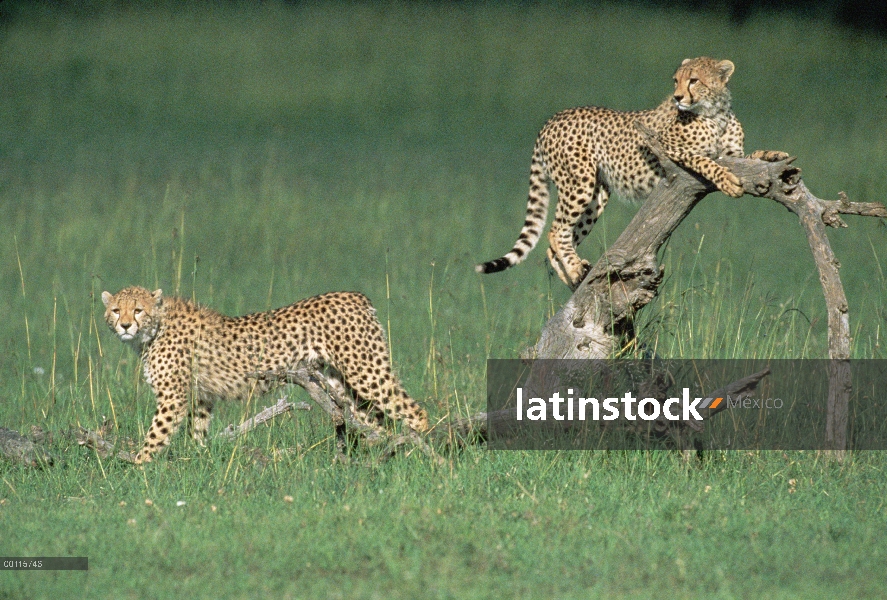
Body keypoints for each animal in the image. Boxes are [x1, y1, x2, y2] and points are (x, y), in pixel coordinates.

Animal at [102, 286, 428, 464]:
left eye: (138, 310)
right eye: (117, 310)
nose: (126, 325)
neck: (155, 329)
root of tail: (355, 295)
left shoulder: (173, 397)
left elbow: (156, 435)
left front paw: (138, 467)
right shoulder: (200, 397)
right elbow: (198, 432)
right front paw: (198, 458)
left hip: (365, 371)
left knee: (415, 412)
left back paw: (421, 453)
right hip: (340, 380)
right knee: (376, 421)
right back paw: (387, 452)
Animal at [478, 56, 792, 288]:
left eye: (694, 80)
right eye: (676, 80)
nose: (678, 97)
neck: (715, 112)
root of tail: (552, 118)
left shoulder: (734, 155)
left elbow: (751, 157)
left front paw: (774, 156)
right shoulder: (667, 146)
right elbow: (706, 161)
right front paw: (727, 181)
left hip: (596, 194)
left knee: (556, 241)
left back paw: (575, 274)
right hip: (578, 183)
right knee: (555, 232)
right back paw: (574, 269)